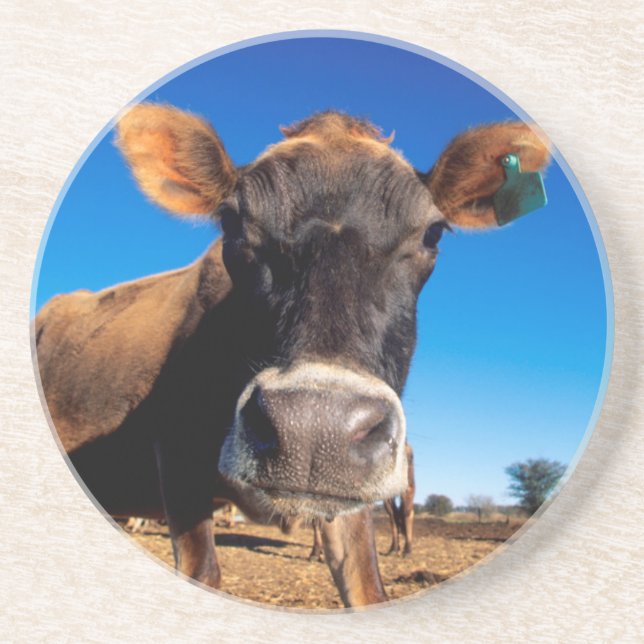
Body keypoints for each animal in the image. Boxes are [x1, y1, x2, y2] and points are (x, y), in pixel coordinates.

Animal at [34, 104, 549, 606]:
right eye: (231, 222)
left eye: (433, 233)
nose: (314, 428)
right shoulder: (176, 452)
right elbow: (203, 571)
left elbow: (367, 588)